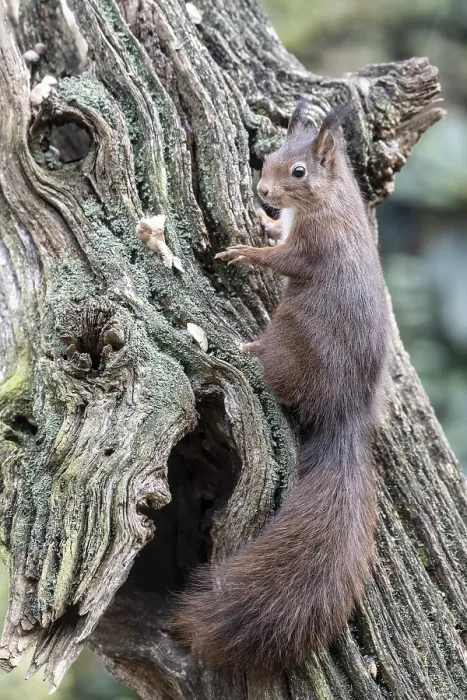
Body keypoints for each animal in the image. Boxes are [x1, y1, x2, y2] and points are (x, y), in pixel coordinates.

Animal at [171, 101, 391, 670]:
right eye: (268, 156)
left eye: (299, 171)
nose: (263, 192)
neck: (328, 201)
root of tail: (345, 414)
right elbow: (279, 239)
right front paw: (265, 224)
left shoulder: (315, 247)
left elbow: (285, 260)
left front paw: (247, 251)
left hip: (291, 336)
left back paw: (248, 351)